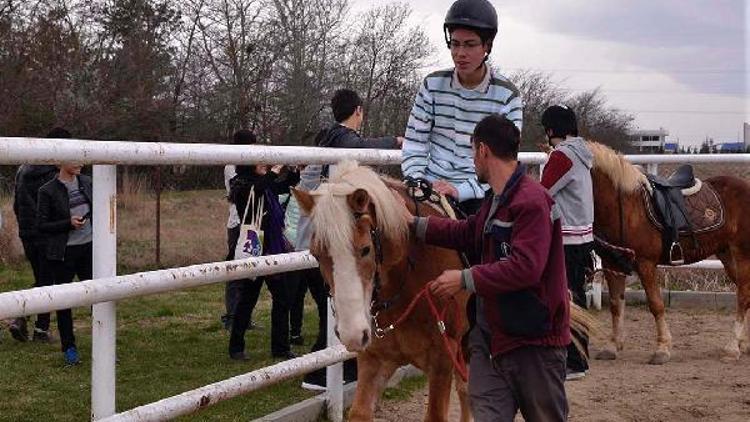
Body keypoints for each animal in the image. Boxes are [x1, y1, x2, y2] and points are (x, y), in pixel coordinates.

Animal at [592, 141, 750, 362]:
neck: (623, 203)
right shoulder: (611, 263)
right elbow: (616, 304)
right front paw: (612, 346)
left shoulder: (645, 263)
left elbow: (655, 304)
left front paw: (662, 349)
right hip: (727, 255)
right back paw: (744, 344)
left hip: (742, 253)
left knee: (743, 295)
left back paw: (732, 347)